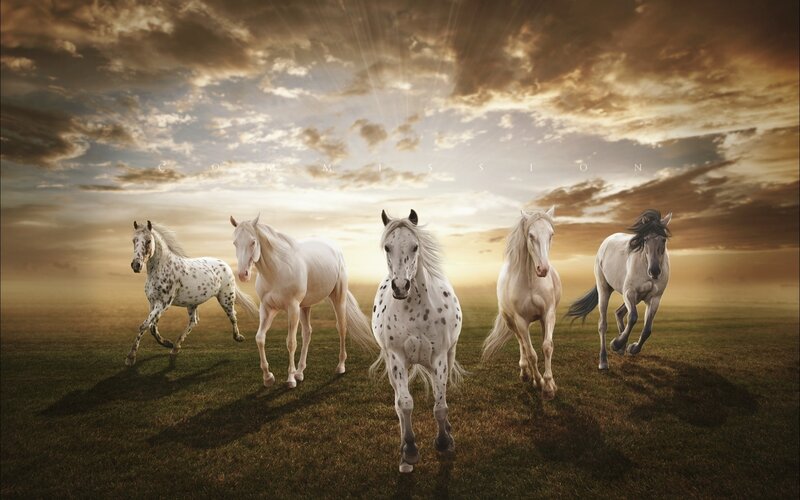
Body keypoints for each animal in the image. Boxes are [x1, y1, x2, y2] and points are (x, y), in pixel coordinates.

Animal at [126, 220, 257, 366]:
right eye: (134, 240)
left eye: (148, 241)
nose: (136, 265)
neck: (160, 268)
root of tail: (225, 265)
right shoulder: (153, 303)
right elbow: (152, 327)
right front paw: (167, 343)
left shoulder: (163, 304)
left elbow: (144, 326)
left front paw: (130, 357)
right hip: (192, 303)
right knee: (193, 321)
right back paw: (175, 349)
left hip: (226, 298)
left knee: (232, 316)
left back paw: (238, 337)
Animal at [229, 214, 374, 388]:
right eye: (235, 243)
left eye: (253, 242)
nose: (242, 274)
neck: (277, 271)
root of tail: (335, 249)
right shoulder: (267, 309)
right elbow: (260, 338)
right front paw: (268, 377)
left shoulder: (292, 308)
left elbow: (291, 342)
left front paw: (290, 379)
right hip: (305, 306)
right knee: (307, 333)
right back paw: (300, 372)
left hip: (338, 298)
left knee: (341, 328)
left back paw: (340, 366)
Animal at [370, 209, 465, 473]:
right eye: (387, 247)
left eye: (415, 246)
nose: (401, 286)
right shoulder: (397, 358)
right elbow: (404, 404)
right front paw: (410, 451)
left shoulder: (439, 357)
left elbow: (440, 405)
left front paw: (443, 441)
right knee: (398, 404)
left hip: (446, 357)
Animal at [482, 207, 562, 400]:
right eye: (531, 235)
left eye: (551, 234)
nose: (543, 269)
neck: (532, 282)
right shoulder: (521, 320)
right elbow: (531, 354)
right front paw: (539, 382)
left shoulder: (548, 314)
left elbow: (547, 346)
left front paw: (549, 386)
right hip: (511, 322)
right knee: (522, 343)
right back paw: (526, 374)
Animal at [565, 209, 672, 369]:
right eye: (645, 239)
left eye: (663, 239)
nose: (654, 271)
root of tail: (606, 241)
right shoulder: (629, 293)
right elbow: (633, 317)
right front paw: (616, 344)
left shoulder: (655, 298)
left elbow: (647, 329)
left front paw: (631, 348)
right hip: (604, 289)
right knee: (603, 324)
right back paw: (604, 361)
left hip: (637, 297)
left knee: (619, 312)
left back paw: (622, 347)